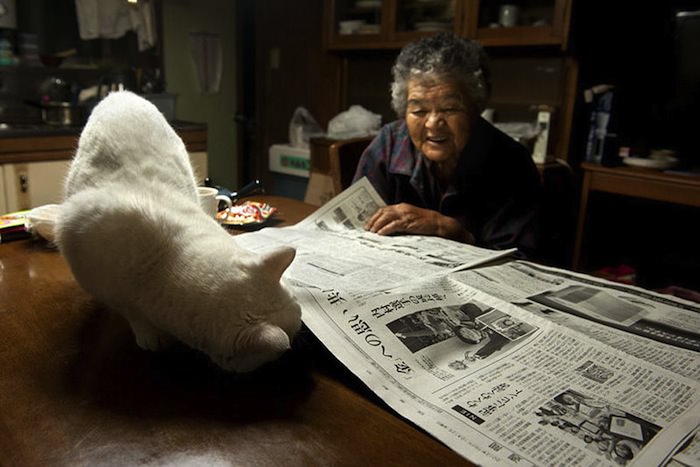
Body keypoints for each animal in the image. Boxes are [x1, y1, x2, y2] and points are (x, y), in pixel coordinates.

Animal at [56, 91, 302, 372]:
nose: (302, 323)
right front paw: (148, 333)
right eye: (295, 331)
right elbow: (131, 311)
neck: (162, 264)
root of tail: (121, 93)